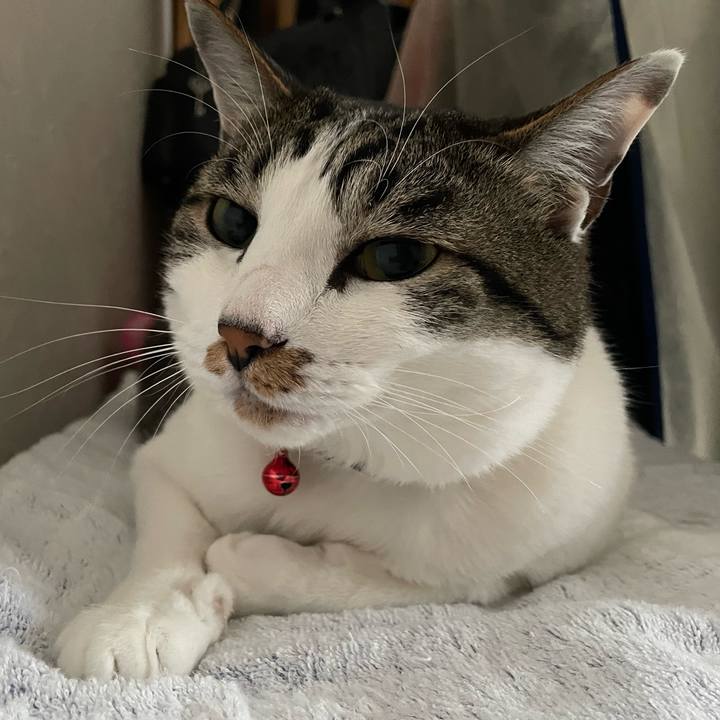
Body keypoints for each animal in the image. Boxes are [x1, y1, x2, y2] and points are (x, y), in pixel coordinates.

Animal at [56, 0, 682, 679]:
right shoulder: (171, 453)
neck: (348, 458)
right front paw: (139, 618)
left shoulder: (527, 545)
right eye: (231, 221)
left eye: (395, 257)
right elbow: (168, 524)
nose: (239, 334)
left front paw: (248, 562)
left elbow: (423, 583)